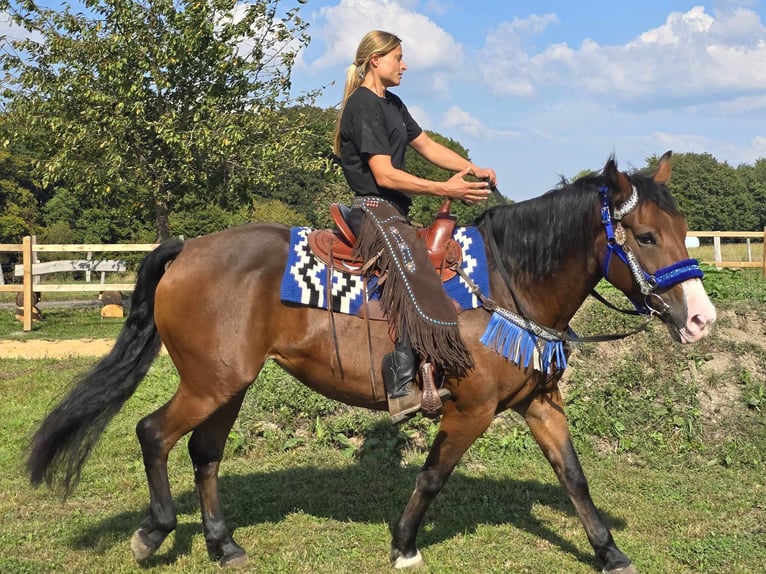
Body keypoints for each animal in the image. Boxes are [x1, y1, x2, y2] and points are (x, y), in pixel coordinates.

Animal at [25, 153, 720, 574]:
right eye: (646, 236)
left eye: (683, 228)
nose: (700, 319)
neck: (507, 282)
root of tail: (188, 247)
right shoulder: (471, 410)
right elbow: (433, 476)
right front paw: (404, 546)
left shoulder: (539, 404)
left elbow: (574, 477)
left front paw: (609, 550)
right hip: (209, 382)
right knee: (153, 433)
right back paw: (154, 532)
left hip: (229, 384)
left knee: (204, 453)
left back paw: (223, 543)